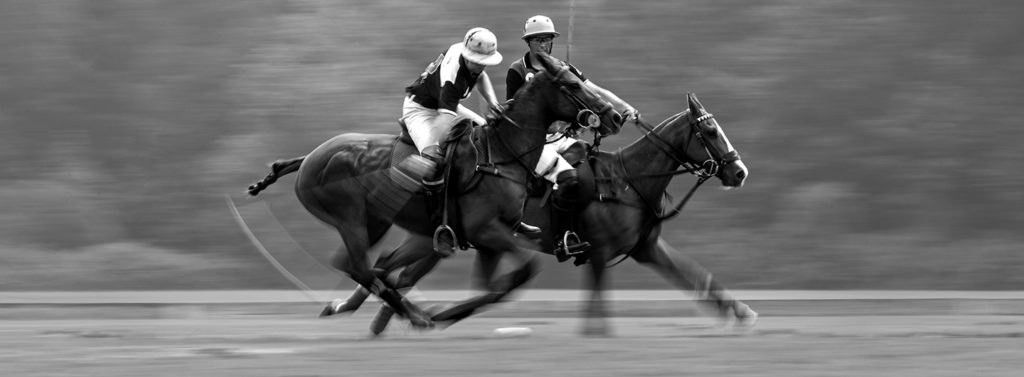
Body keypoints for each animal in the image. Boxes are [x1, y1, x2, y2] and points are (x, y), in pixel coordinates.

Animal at [245, 50, 622, 329]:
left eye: (583, 78)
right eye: (572, 84)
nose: (614, 117)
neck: (503, 152)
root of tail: (309, 157)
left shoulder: (491, 237)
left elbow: (496, 287)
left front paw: (448, 312)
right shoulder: (486, 230)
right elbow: (520, 274)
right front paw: (444, 314)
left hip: (378, 222)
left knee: (370, 267)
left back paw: (372, 310)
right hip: (349, 217)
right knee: (361, 267)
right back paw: (414, 316)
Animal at [323, 92, 757, 336]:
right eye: (710, 131)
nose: (739, 172)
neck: (628, 180)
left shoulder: (646, 248)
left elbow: (696, 276)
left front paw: (741, 312)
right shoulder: (600, 250)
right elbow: (597, 301)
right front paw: (595, 335)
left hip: (433, 238)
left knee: (391, 268)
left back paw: (377, 315)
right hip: (441, 237)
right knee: (391, 269)